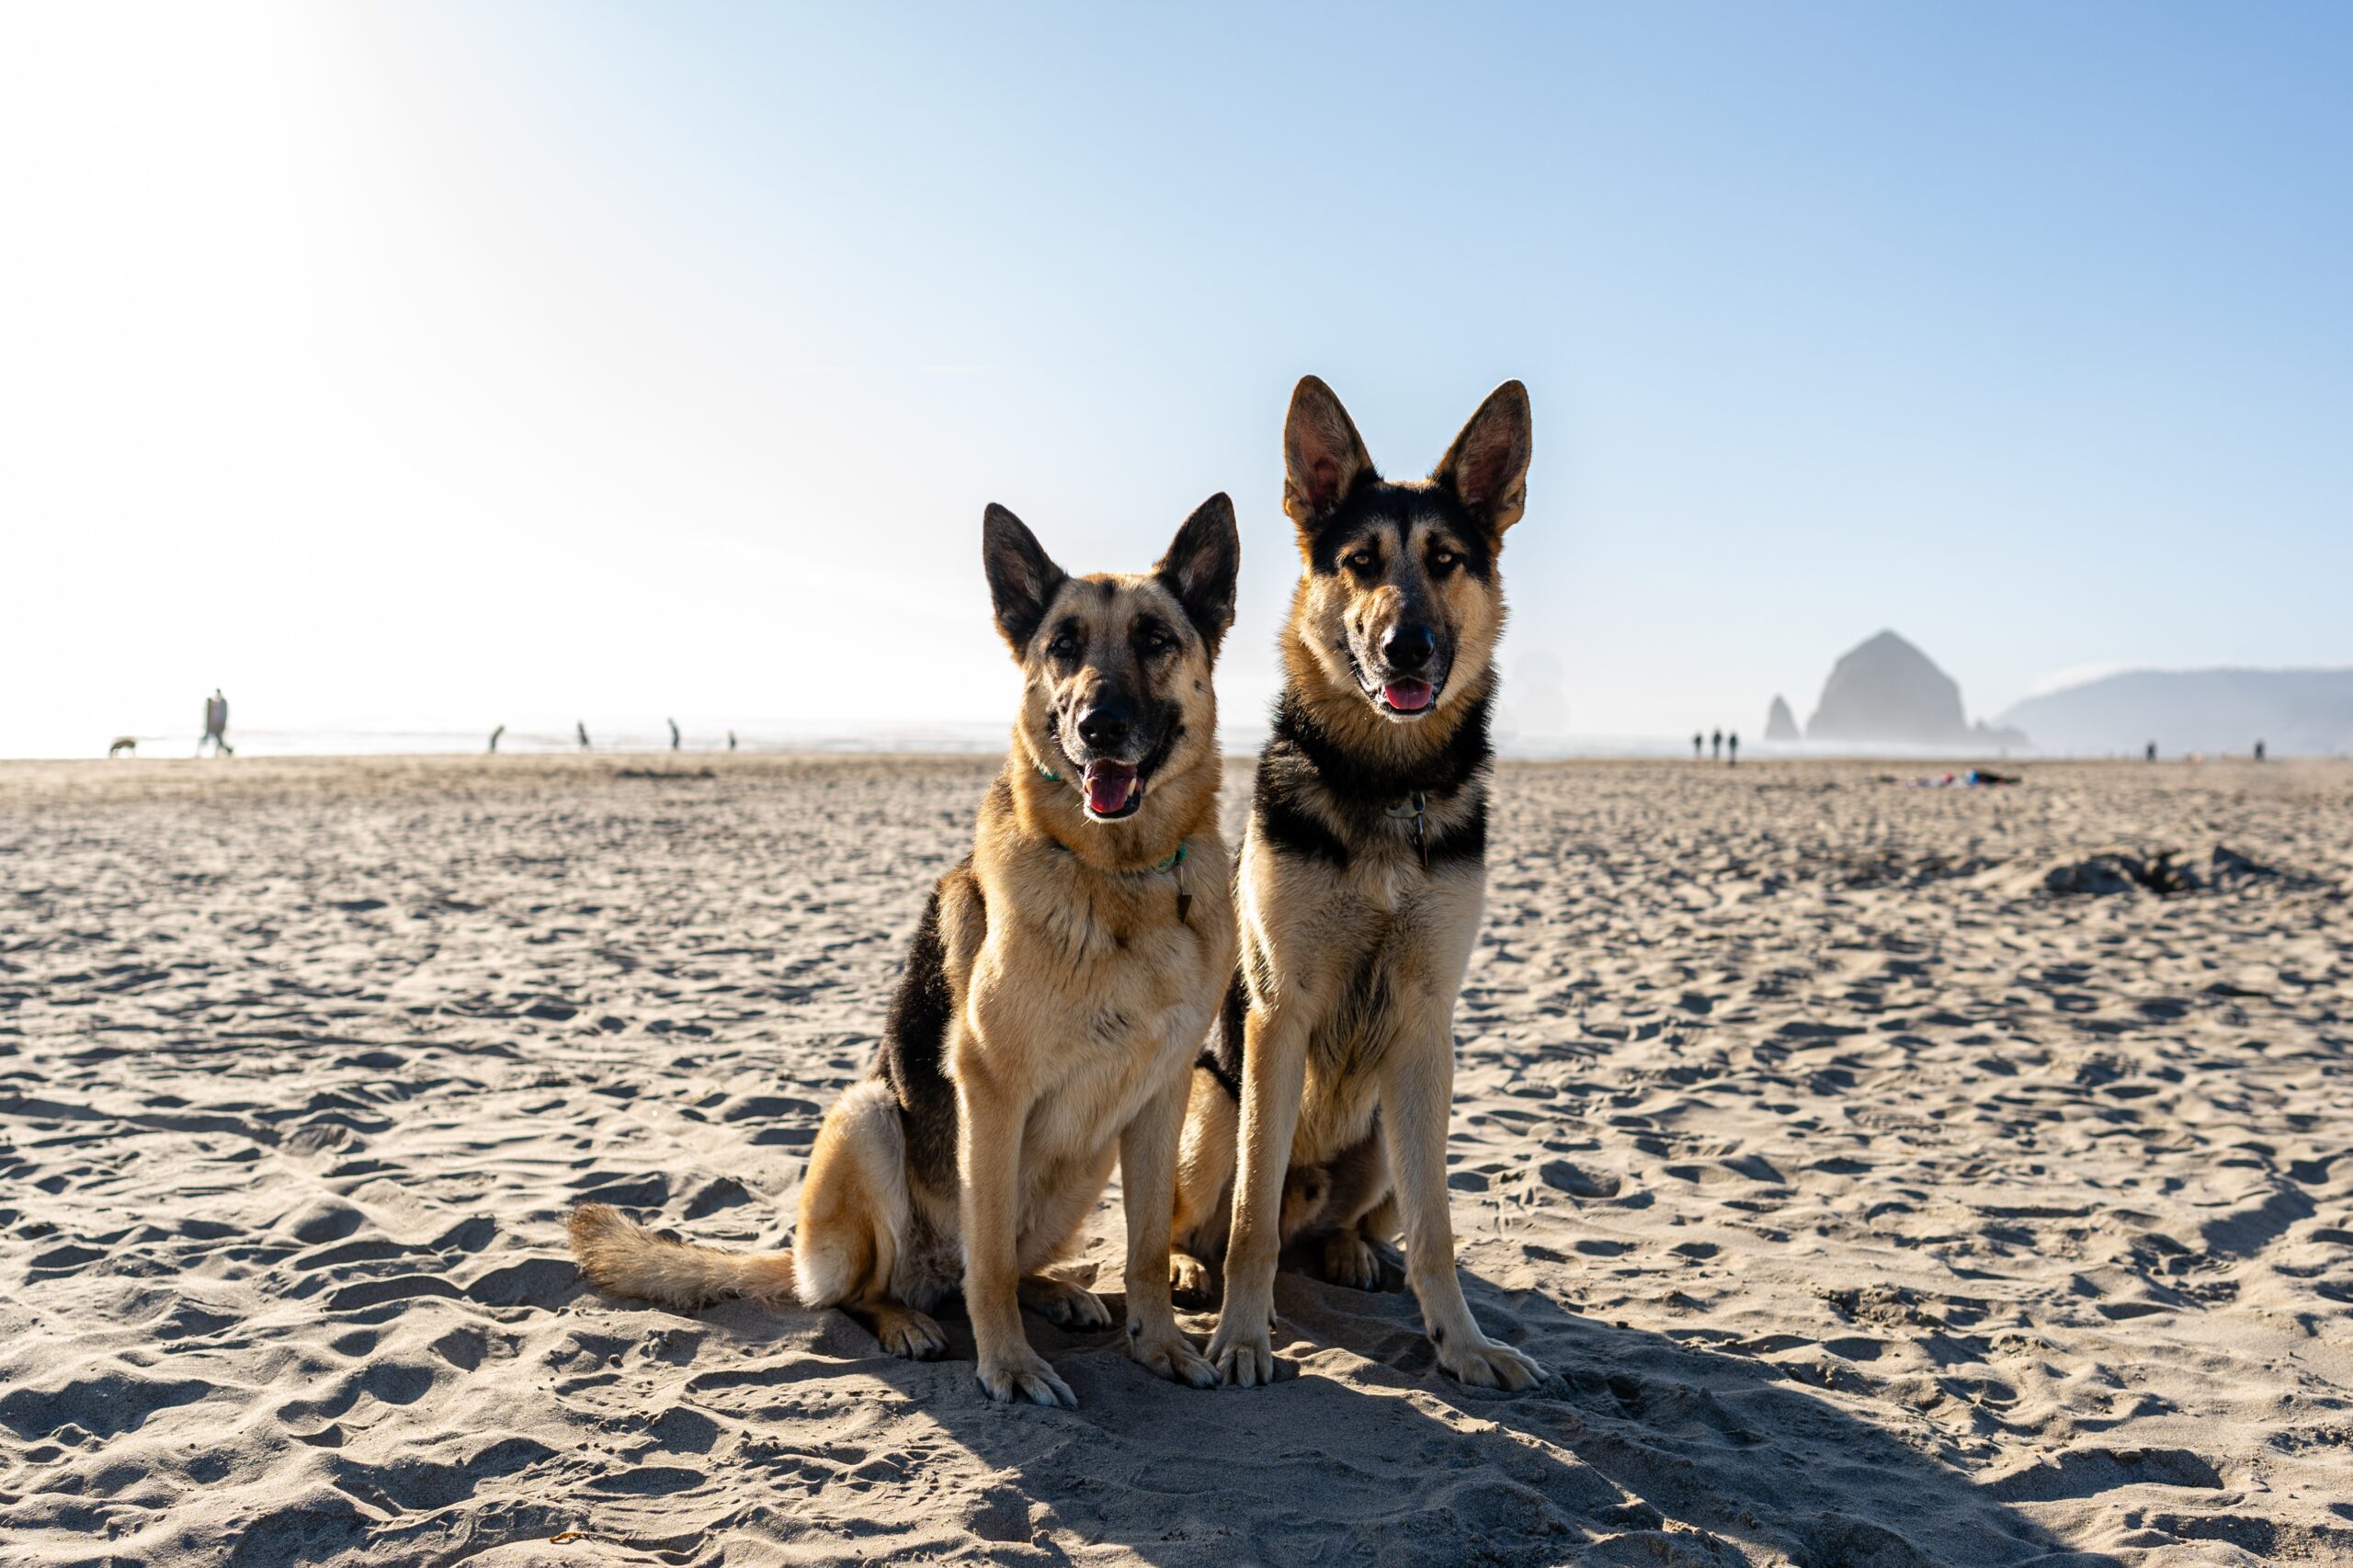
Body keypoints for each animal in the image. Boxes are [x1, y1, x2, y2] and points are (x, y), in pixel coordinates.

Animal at [572, 501, 1242, 1403]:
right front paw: (1010, 1366)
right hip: (866, 1120)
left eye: (1155, 638)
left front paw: (1159, 1345)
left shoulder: (1161, 1096)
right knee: (872, 1290)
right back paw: (904, 1320)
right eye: (1063, 645)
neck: (1118, 876)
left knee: (1006, 1262)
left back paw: (1056, 1292)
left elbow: (1140, 1252)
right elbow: (987, 1264)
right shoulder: (992, 1092)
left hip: (1084, 1164)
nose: (1097, 728)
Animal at [1171, 376, 1543, 1384]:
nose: (1406, 646)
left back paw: (1346, 1249)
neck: (1382, 781)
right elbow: (1251, 1220)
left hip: (1386, 1126)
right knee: (1219, 1216)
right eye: (1360, 561)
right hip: (1209, 1110)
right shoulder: (1279, 1013)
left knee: (1362, 1218)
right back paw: (1187, 1267)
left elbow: (1436, 1229)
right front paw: (1242, 1334)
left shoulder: (1425, 1023)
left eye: (1446, 560)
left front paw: (1464, 1342)